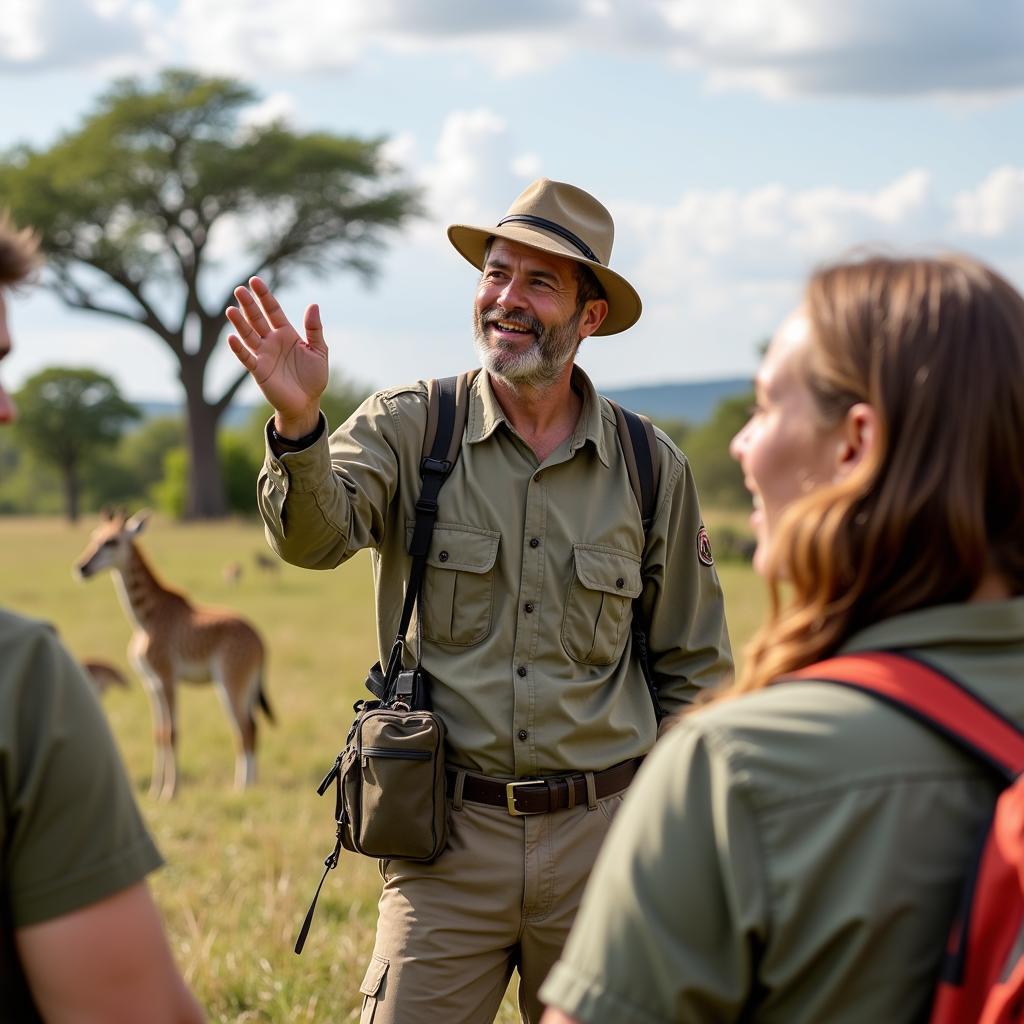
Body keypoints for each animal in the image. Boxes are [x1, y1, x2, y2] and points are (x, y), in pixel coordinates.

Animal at [74, 509, 272, 798]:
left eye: (111, 541)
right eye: (94, 537)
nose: (81, 568)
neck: (145, 618)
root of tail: (260, 640)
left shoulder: (167, 677)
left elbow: (172, 733)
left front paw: (170, 791)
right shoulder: (151, 683)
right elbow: (158, 733)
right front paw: (154, 790)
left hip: (231, 682)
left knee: (244, 728)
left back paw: (241, 788)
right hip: (244, 685)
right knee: (253, 726)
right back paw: (251, 785)